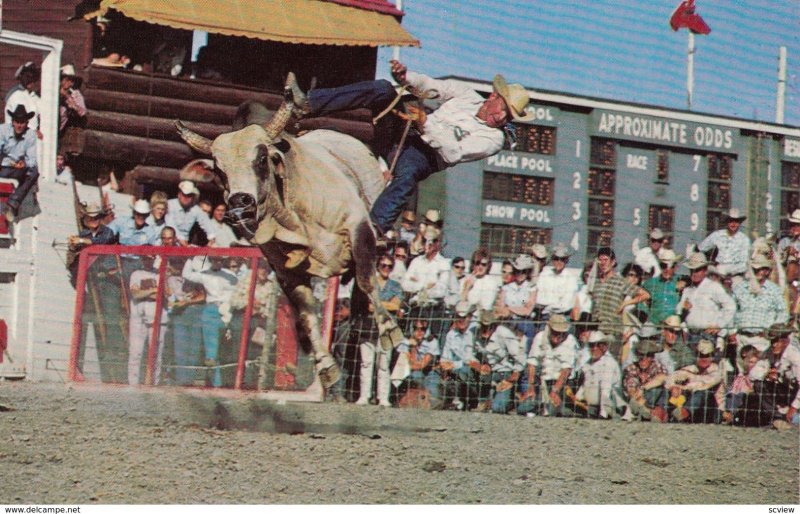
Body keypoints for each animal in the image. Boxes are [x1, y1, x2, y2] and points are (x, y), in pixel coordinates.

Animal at [174, 75, 400, 388]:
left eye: (261, 158)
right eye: (219, 170)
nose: (240, 202)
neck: (294, 217)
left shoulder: (358, 228)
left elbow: (367, 280)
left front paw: (389, 329)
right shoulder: (285, 270)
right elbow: (306, 312)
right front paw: (325, 366)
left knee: (361, 291)